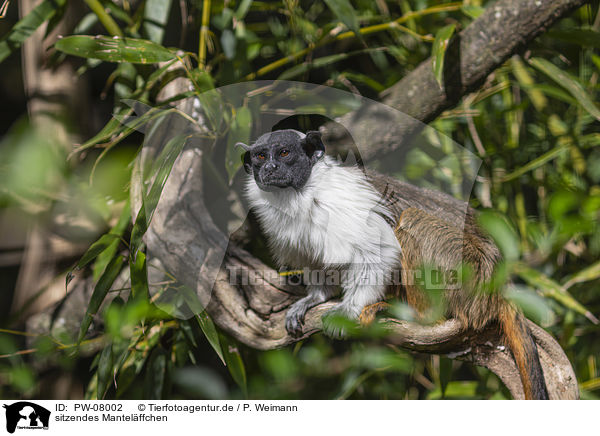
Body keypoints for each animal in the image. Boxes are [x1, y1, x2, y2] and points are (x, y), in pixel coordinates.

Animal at [238, 129, 548, 398]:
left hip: (467, 271)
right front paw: (314, 298)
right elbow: (314, 260)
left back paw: (419, 317)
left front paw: (348, 309)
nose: (270, 168)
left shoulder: (339, 205)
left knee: (412, 219)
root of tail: (497, 280)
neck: (298, 195)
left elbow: (379, 250)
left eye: (284, 152)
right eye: (261, 157)